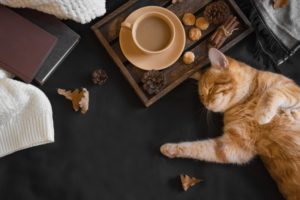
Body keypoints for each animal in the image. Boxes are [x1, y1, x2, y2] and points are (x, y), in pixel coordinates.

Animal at [162, 48, 300, 198]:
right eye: (202, 96)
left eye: (210, 89)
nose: (205, 104)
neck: (246, 101)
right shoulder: (233, 146)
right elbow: (197, 148)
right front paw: (170, 149)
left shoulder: (293, 91)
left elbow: (272, 92)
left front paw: (263, 114)